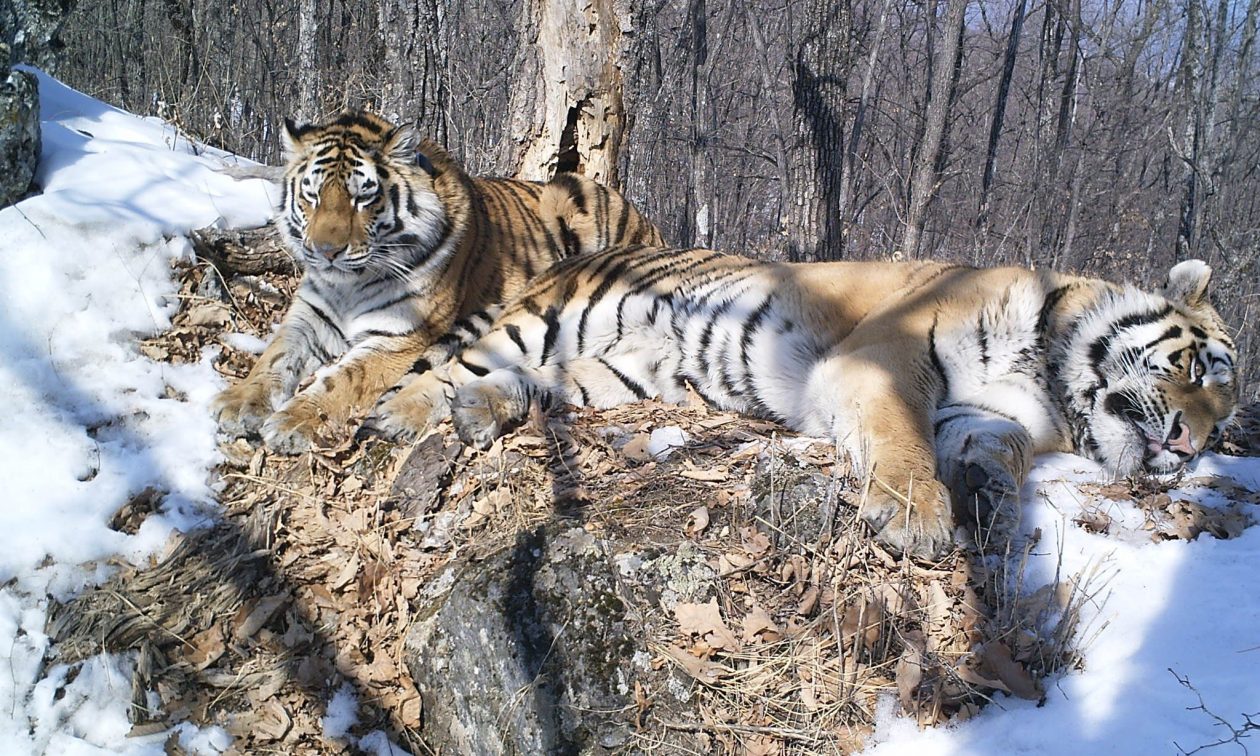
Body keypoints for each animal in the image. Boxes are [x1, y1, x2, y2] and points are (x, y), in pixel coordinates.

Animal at [211, 107, 665, 448]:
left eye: (363, 196)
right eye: (313, 194)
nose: (325, 251)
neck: (349, 285)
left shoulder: (399, 338)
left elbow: (341, 380)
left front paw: (293, 421)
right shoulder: (310, 315)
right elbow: (274, 356)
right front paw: (238, 403)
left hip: (570, 197)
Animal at [367, 245, 1234, 556]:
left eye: (1226, 422)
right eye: (1200, 369)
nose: (1193, 447)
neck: (1050, 376)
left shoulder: (987, 414)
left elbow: (1000, 449)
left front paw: (988, 496)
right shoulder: (885, 358)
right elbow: (902, 439)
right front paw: (917, 517)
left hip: (619, 373)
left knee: (531, 385)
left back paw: (483, 411)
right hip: (554, 319)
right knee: (445, 367)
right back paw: (400, 417)